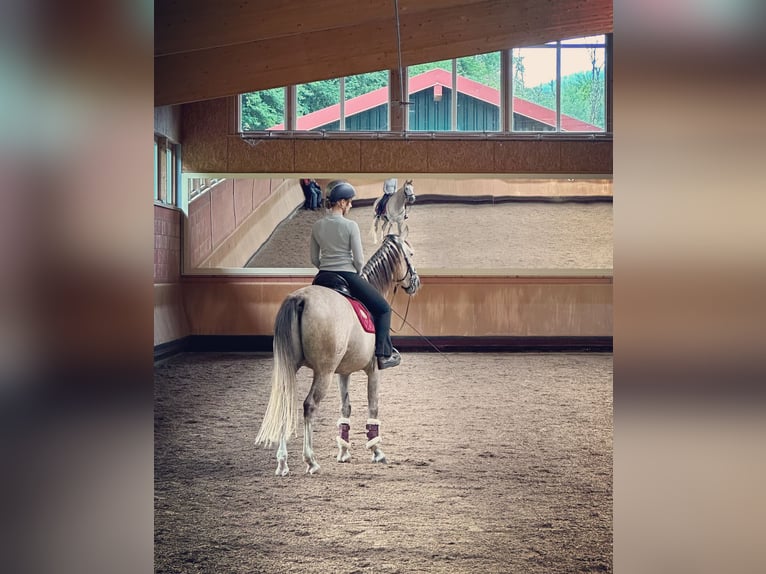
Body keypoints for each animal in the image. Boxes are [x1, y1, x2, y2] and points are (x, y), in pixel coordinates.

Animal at [254, 234, 421, 476]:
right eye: (410, 254)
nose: (416, 282)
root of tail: (300, 299)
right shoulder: (373, 370)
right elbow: (373, 405)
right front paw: (377, 451)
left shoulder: (344, 372)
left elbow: (346, 407)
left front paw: (343, 452)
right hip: (323, 372)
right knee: (309, 405)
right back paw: (311, 461)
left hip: (291, 368)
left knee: (286, 404)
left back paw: (283, 463)